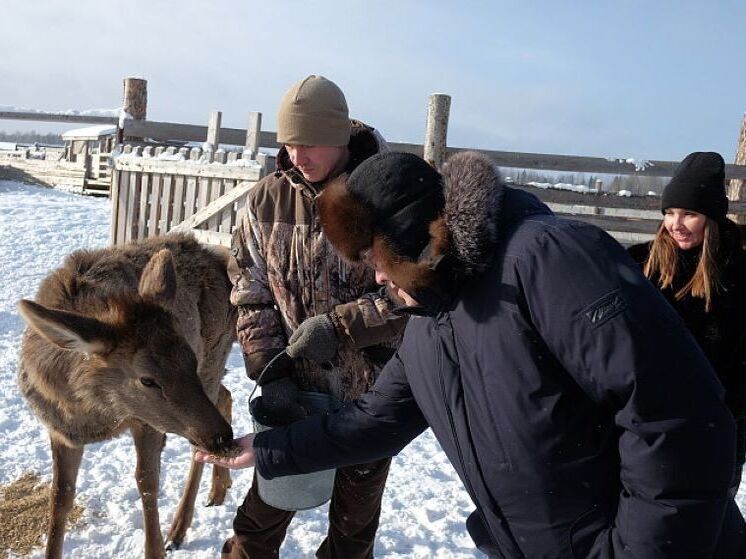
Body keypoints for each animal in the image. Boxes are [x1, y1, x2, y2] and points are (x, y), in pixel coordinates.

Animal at [18, 234, 238, 559]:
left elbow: (147, 482)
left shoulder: (146, 422)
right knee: (226, 395)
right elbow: (60, 497)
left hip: (215, 357)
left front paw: (156, 548)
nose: (224, 438)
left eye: (190, 357)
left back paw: (179, 528)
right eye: (147, 379)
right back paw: (219, 488)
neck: (93, 414)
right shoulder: (60, 430)